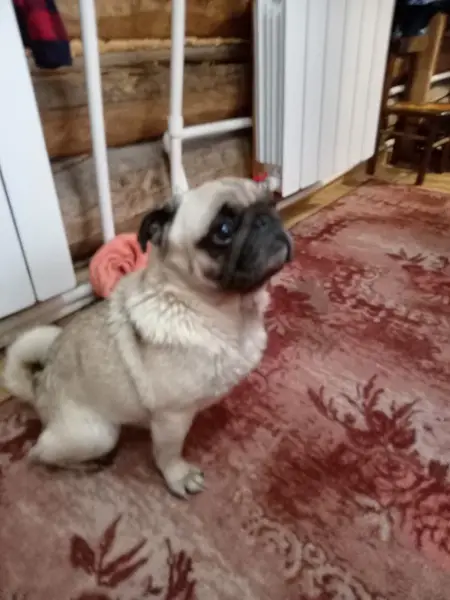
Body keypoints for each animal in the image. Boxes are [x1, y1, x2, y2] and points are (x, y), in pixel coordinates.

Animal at [2, 177, 292, 497]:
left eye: (271, 203)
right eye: (223, 230)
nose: (267, 219)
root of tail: (39, 386)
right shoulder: (172, 417)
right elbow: (168, 453)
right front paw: (178, 477)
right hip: (98, 434)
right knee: (39, 453)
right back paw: (86, 464)